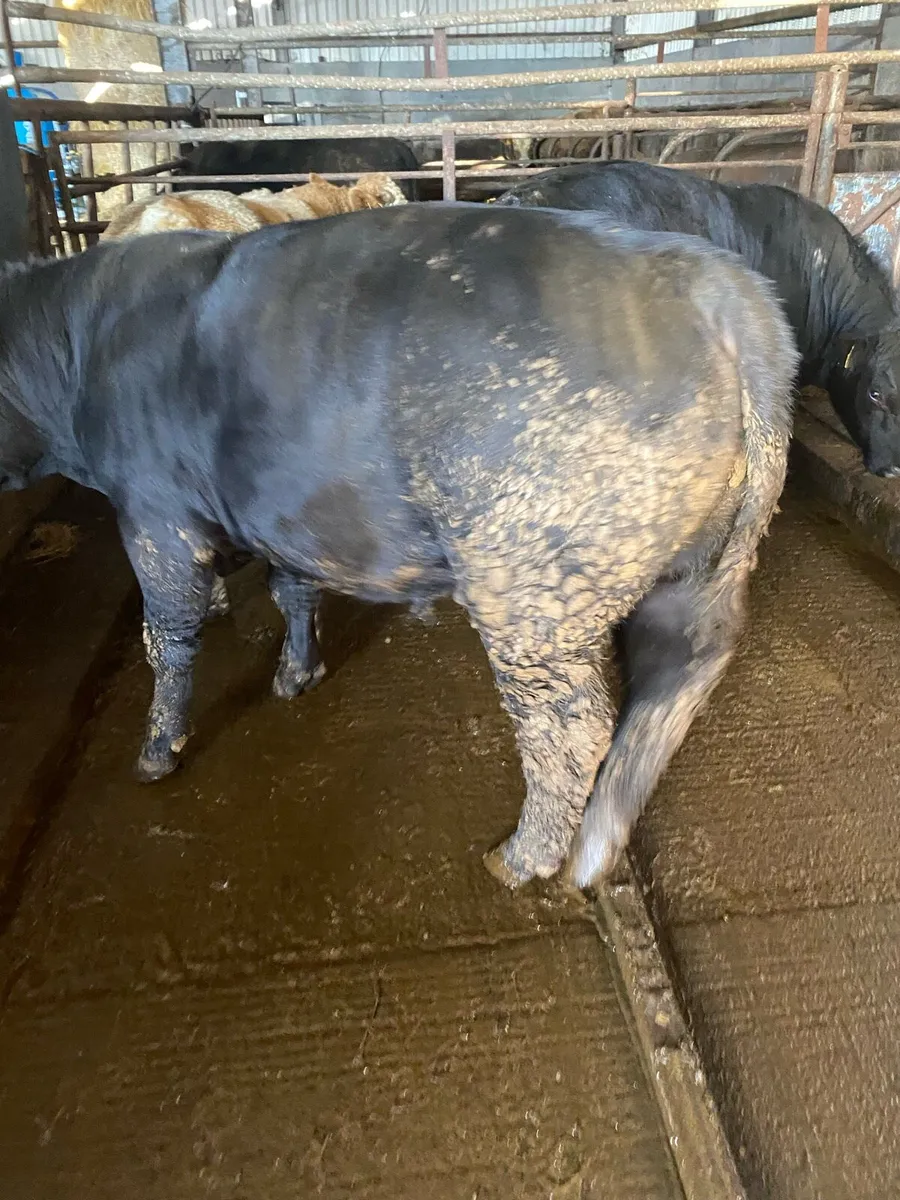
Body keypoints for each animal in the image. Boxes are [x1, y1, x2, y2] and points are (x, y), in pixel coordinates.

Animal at [0, 205, 796, 889]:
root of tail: (718, 284)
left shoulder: (153, 512)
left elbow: (165, 637)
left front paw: (156, 752)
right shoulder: (283, 511)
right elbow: (293, 588)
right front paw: (297, 675)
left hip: (529, 587)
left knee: (571, 728)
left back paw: (522, 858)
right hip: (699, 568)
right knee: (676, 675)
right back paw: (597, 845)